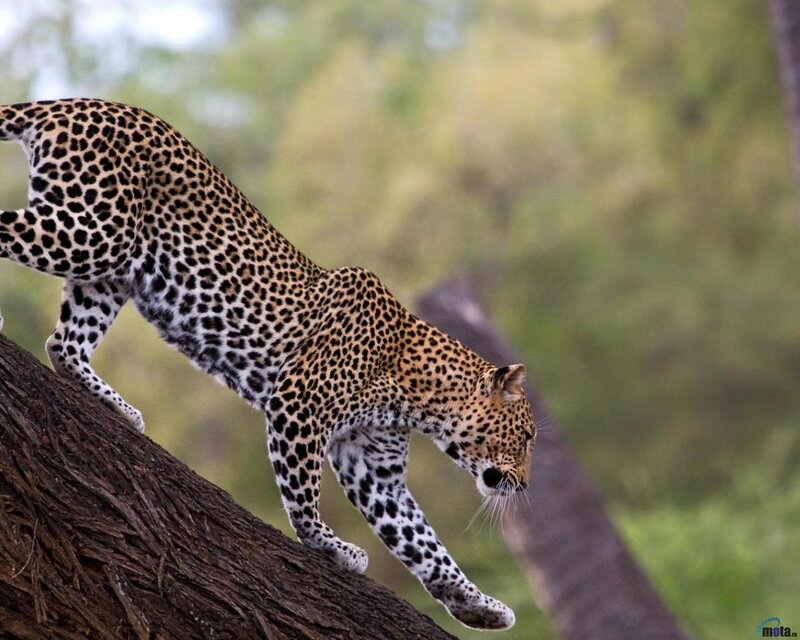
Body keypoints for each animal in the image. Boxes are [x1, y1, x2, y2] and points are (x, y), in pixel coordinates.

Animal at [0, 98, 535, 631]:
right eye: (528, 436)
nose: (526, 485)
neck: (418, 395)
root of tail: (76, 103)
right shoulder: (299, 404)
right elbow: (303, 493)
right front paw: (330, 545)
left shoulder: (373, 466)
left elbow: (422, 541)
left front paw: (478, 604)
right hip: (88, 232)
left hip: (110, 269)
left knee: (63, 344)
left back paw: (117, 407)